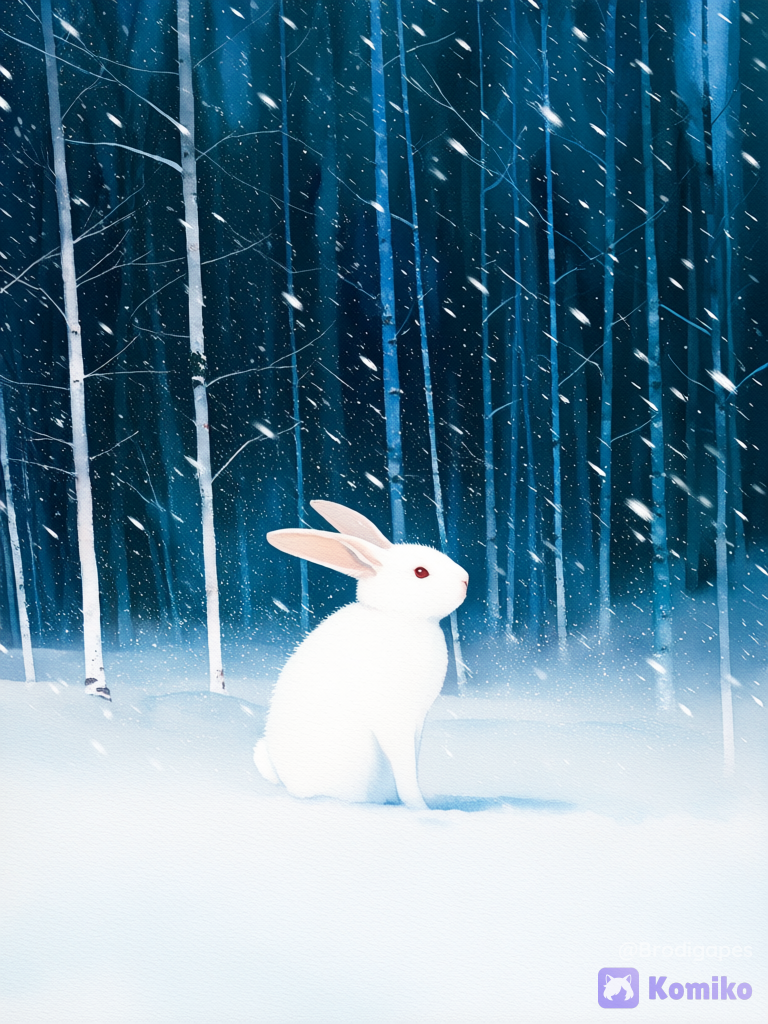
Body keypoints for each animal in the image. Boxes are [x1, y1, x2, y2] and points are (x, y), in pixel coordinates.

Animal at [253, 500, 468, 809]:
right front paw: (420, 807)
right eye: (420, 572)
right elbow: (405, 769)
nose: (466, 580)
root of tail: (292, 788)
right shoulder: (394, 721)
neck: (396, 615)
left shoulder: (417, 722)